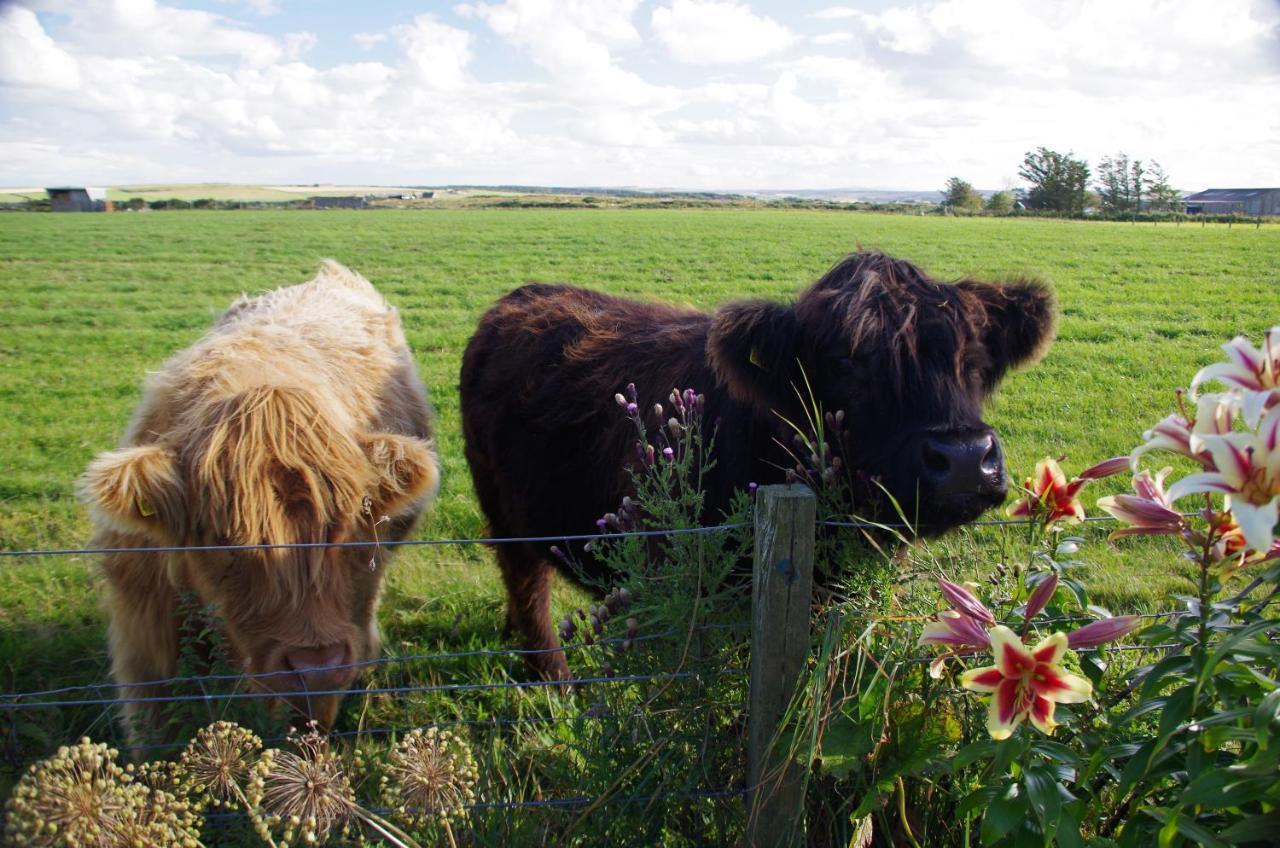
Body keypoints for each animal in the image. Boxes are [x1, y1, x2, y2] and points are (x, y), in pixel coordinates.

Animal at [460, 251, 1049, 676]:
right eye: (847, 361)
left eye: (975, 358)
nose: (966, 458)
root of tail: (519, 298)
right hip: (505, 512)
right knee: (528, 584)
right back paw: (553, 678)